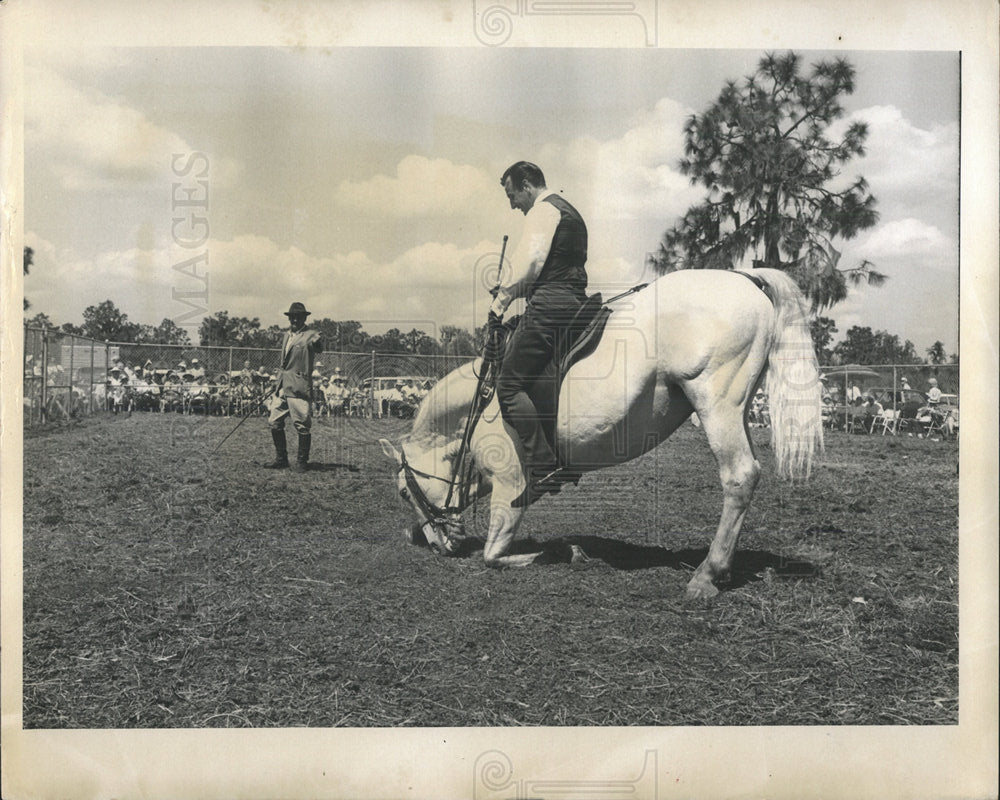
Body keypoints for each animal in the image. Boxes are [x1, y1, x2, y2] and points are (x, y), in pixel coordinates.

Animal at [376, 268, 820, 600]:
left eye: (403, 492)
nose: (439, 546)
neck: (481, 399)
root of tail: (745, 277)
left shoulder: (512, 484)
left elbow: (493, 554)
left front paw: (560, 552)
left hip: (716, 405)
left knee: (740, 476)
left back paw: (707, 574)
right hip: (736, 409)